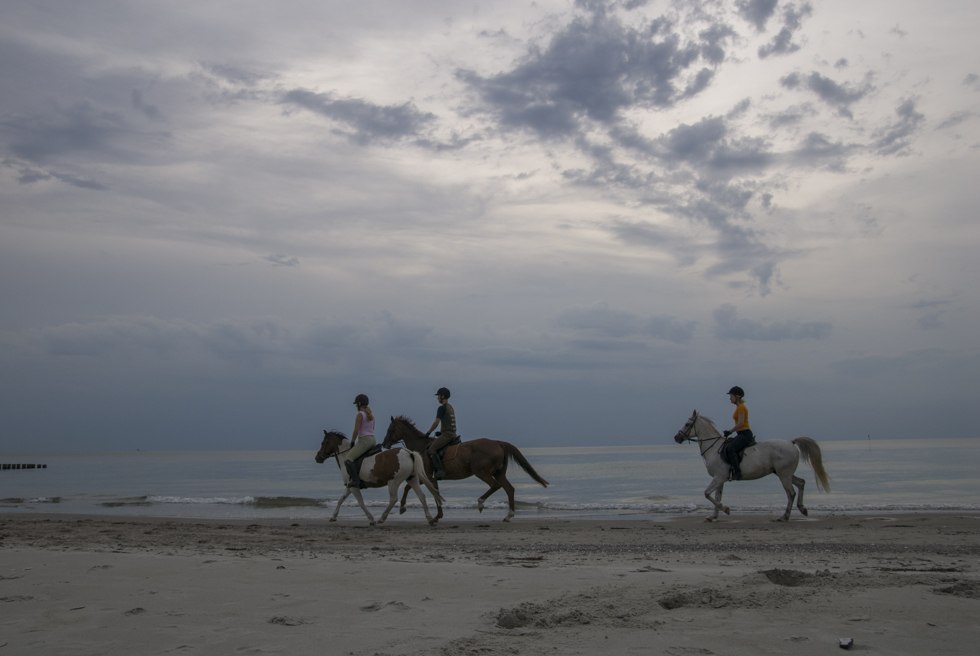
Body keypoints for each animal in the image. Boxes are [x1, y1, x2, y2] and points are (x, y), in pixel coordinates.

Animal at [314, 430, 444, 528]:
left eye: (323, 442)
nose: (317, 458)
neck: (346, 456)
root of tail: (409, 453)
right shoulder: (349, 486)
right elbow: (341, 499)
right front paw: (333, 516)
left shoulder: (354, 487)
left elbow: (360, 502)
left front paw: (371, 519)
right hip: (412, 479)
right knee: (421, 496)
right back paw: (430, 519)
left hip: (393, 482)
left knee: (393, 499)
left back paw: (382, 518)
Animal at [382, 418, 552, 524]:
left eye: (391, 429)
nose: (384, 444)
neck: (421, 448)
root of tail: (497, 443)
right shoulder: (428, 477)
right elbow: (416, 489)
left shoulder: (428, 476)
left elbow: (421, 490)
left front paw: (432, 515)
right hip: (498, 473)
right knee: (509, 488)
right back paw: (508, 516)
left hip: (481, 472)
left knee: (496, 486)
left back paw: (481, 503)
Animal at [672, 410, 828, 524]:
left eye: (687, 424)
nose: (676, 438)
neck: (714, 449)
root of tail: (791, 443)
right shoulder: (720, 479)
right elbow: (716, 496)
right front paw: (713, 516)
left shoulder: (718, 477)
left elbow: (707, 494)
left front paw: (726, 509)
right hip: (783, 473)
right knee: (801, 483)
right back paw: (802, 509)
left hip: (784, 475)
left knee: (791, 493)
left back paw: (784, 516)